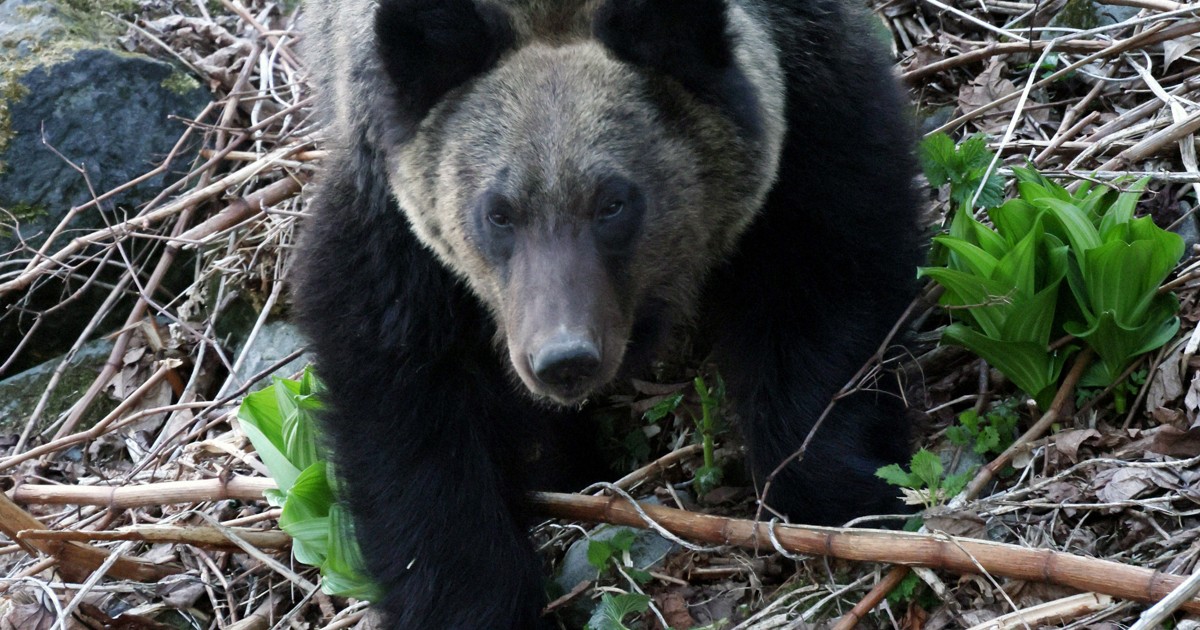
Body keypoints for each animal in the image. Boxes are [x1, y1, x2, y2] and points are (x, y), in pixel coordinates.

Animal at [293, 0, 924, 627]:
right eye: (498, 212)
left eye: (614, 203)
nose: (564, 358)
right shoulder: (392, 222)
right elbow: (407, 400)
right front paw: (471, 597)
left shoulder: (811, 103)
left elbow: (827, 277)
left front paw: (846, 491)